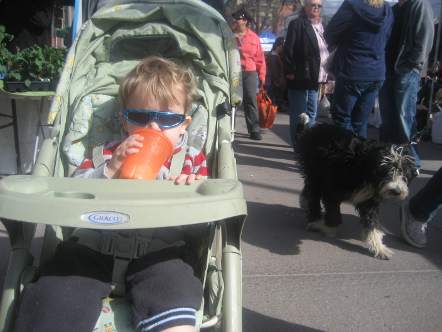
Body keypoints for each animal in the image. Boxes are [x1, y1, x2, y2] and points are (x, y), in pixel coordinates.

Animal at [296, 119, 416, 260]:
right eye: (385, 171)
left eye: (404, 173)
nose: (396, 191)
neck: (363, 167)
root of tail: (312, 128)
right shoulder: (332, 188)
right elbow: (333, 212)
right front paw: (330, 229)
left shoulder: (369, 201)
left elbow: (371, 223)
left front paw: (379, 247)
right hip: (314, 172)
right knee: (313, 194)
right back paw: (315, 219)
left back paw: (305, 203)